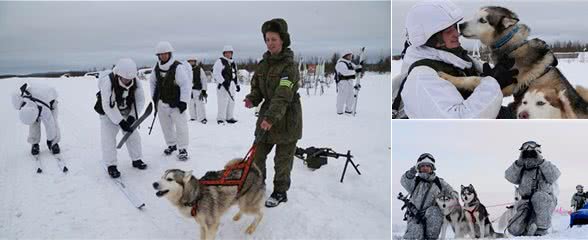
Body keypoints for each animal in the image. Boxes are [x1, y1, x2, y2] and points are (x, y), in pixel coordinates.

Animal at [436, 5, 588, 118]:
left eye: (483, 20)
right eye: (474, 16)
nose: (460, 26)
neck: (509, 45)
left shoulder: (507, 85)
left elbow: (472, 79)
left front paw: (448, 77)